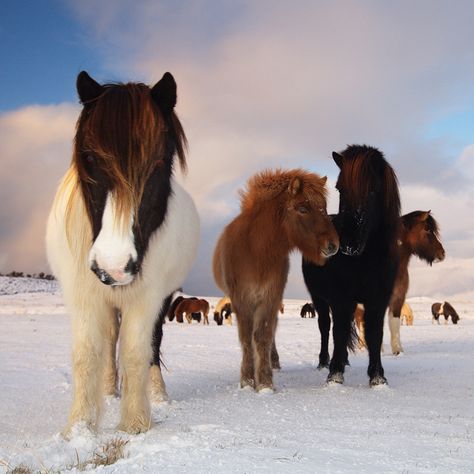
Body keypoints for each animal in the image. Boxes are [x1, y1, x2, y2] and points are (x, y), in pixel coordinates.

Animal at [45, 70, 198, 436]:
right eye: (89, 158)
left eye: (160, 161)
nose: (112, 267)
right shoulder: (83, 296)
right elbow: (88, 353)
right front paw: (80, 428)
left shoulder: (148, 297)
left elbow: (135, 351)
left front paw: (135, 423)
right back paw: (108, 390)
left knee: (153, 343)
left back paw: (157, 394)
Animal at [213, 168, 338, 390]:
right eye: (303, 208)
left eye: (323, 207)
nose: (333, 245)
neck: (256, 251)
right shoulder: (241, 300)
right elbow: (247, 338)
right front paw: (247, 381)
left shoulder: (270, 297)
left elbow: (263, 336)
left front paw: (264, 383)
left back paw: (274, 362)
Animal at [304, 146, 400, 386]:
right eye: (340, 188)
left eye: (373, 190)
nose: (347, 244)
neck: (365, 259)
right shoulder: (341, 298)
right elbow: (338, 332)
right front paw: (335, 375)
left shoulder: (378, 299)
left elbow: (375, 334)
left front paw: (377, 377)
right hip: (318, 298)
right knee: (325, 327)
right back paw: (324, 362)